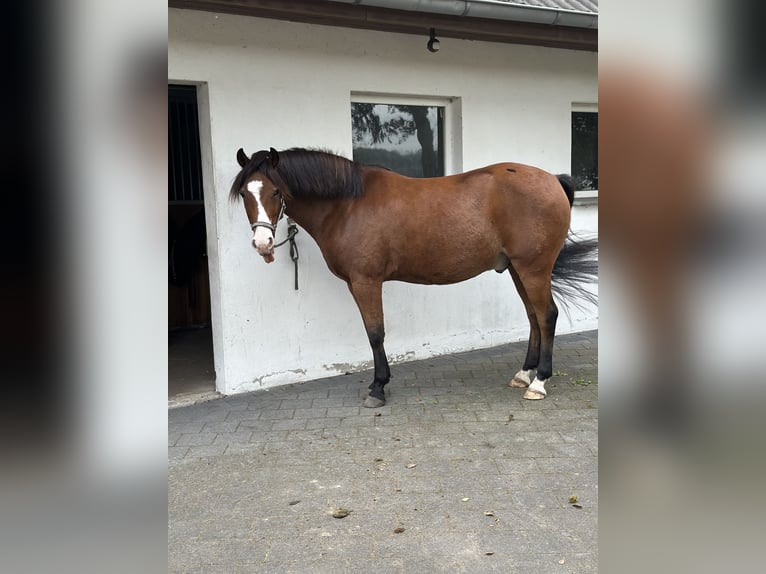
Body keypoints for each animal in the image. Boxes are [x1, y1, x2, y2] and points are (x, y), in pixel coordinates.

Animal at [230, 147, 597, 408]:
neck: (347, 204)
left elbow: (375, 333)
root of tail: (552, 179)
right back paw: (523, 374)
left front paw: (378, 388)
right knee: (534, 317)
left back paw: (539, 383)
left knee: (547, 316)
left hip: (534, 268)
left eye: (276, 192)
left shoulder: (365, 281)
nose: (262, 244)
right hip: (519, 270)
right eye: (246, 194)